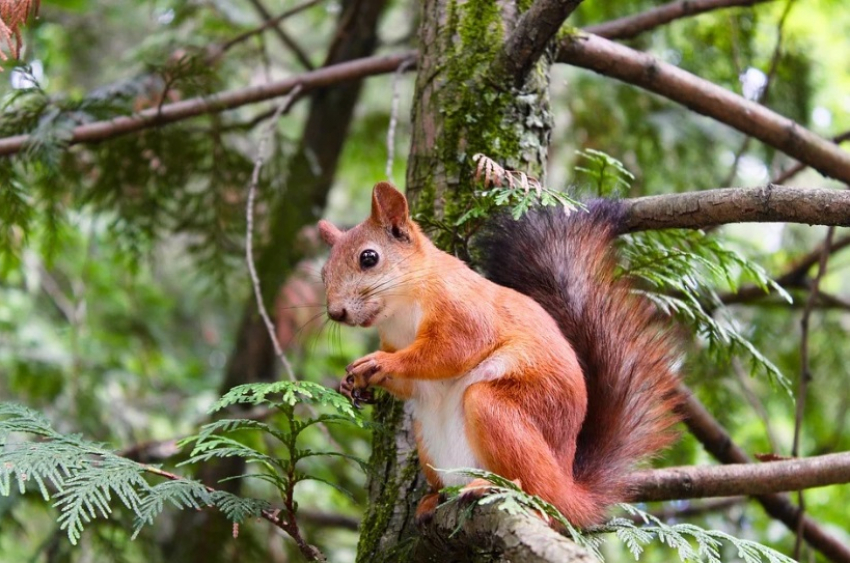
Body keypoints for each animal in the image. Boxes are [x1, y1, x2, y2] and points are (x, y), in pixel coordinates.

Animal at [314, 181, 680, 528]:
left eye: (369, 258)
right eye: (323, 273)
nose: (335, 313)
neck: (401, 310)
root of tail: (569, 489)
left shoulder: (465, 312)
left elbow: (449, 352)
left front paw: (380, 362)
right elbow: (412, 383)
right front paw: (354, 384)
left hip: (499, 410)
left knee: (539, 494)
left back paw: (498, 488)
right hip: (427, 440)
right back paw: (433, 499)